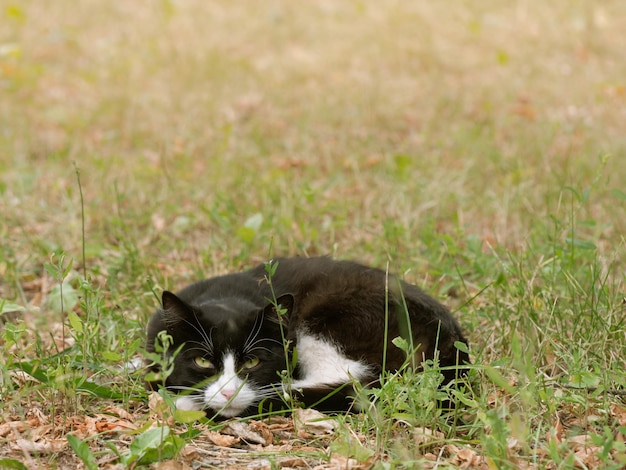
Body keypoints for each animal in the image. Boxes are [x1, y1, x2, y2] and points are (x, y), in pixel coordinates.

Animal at [145, 258, 468, 418]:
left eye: (252, 362)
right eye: (202, 361)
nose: (229, 394)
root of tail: (450, 342)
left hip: (332, 319)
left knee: (352, 381)